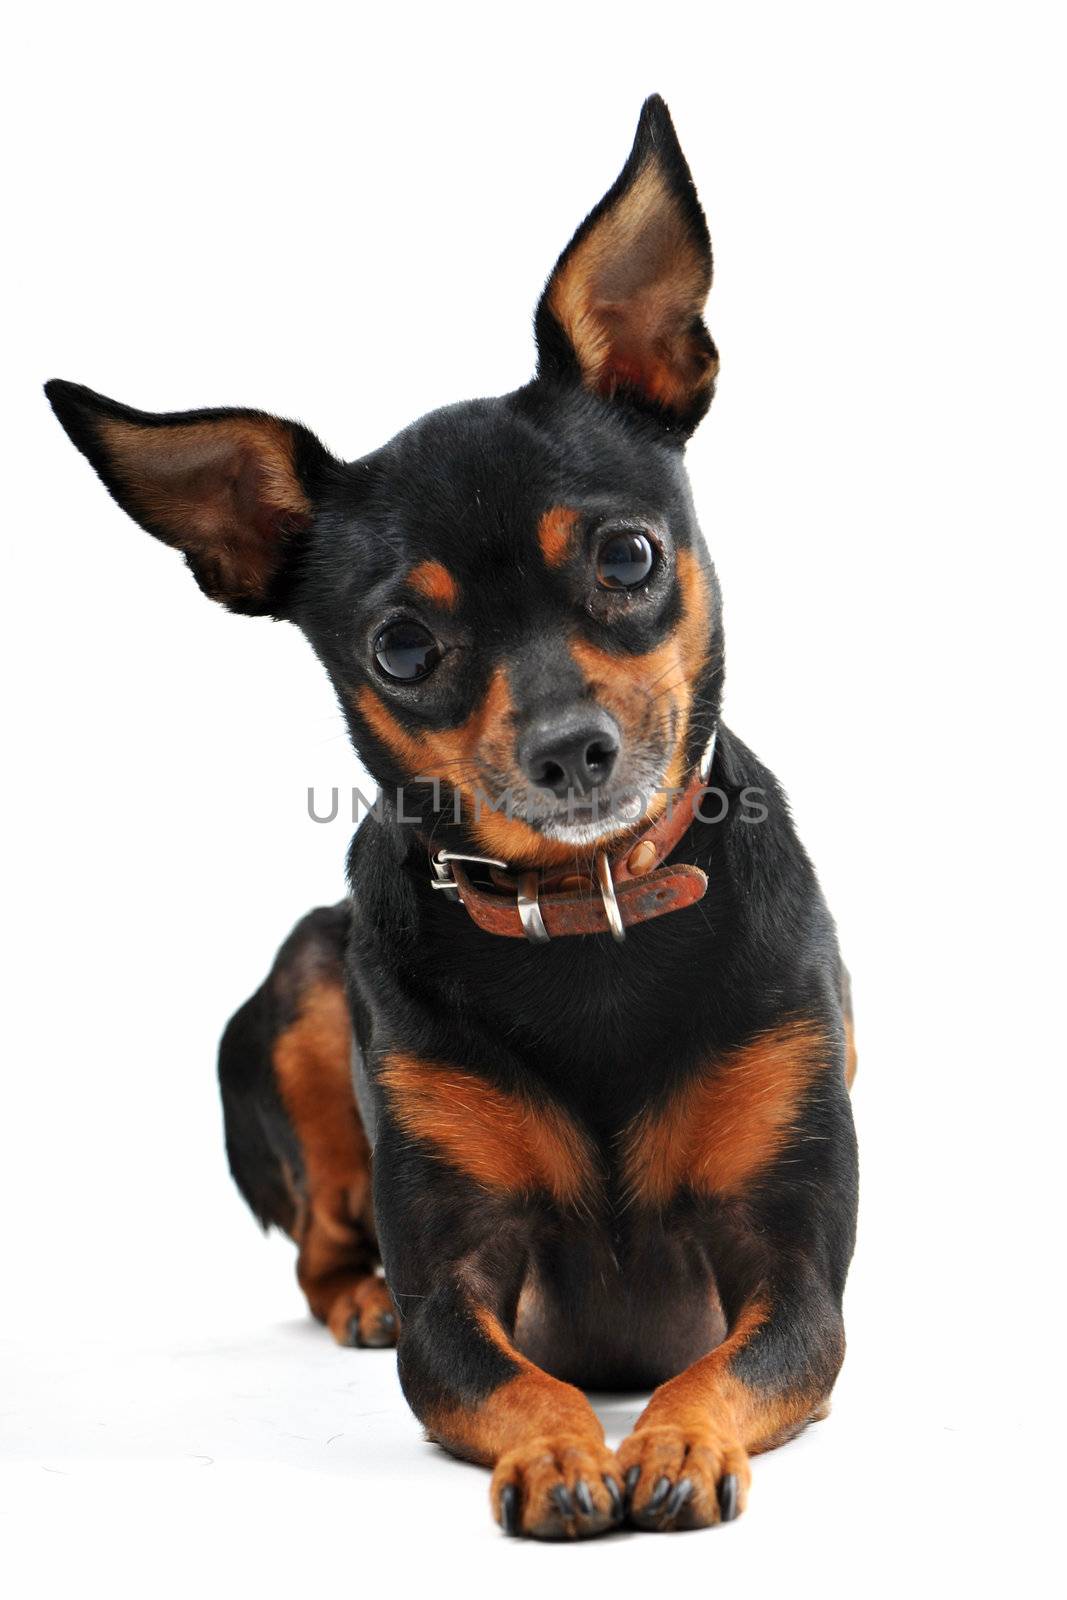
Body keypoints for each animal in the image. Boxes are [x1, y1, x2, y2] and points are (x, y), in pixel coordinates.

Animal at [45, 96, 857, 1536]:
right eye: (403, 646)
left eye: (626, 556)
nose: (569, 750)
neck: (592, 916)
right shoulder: (458, 1291)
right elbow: (506, 1378)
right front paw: (560, 1451)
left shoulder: (795, 1277)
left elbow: (720, 1362)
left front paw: (675, 1437)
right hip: (304, 996)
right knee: (321, 1247)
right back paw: (354, 1293)